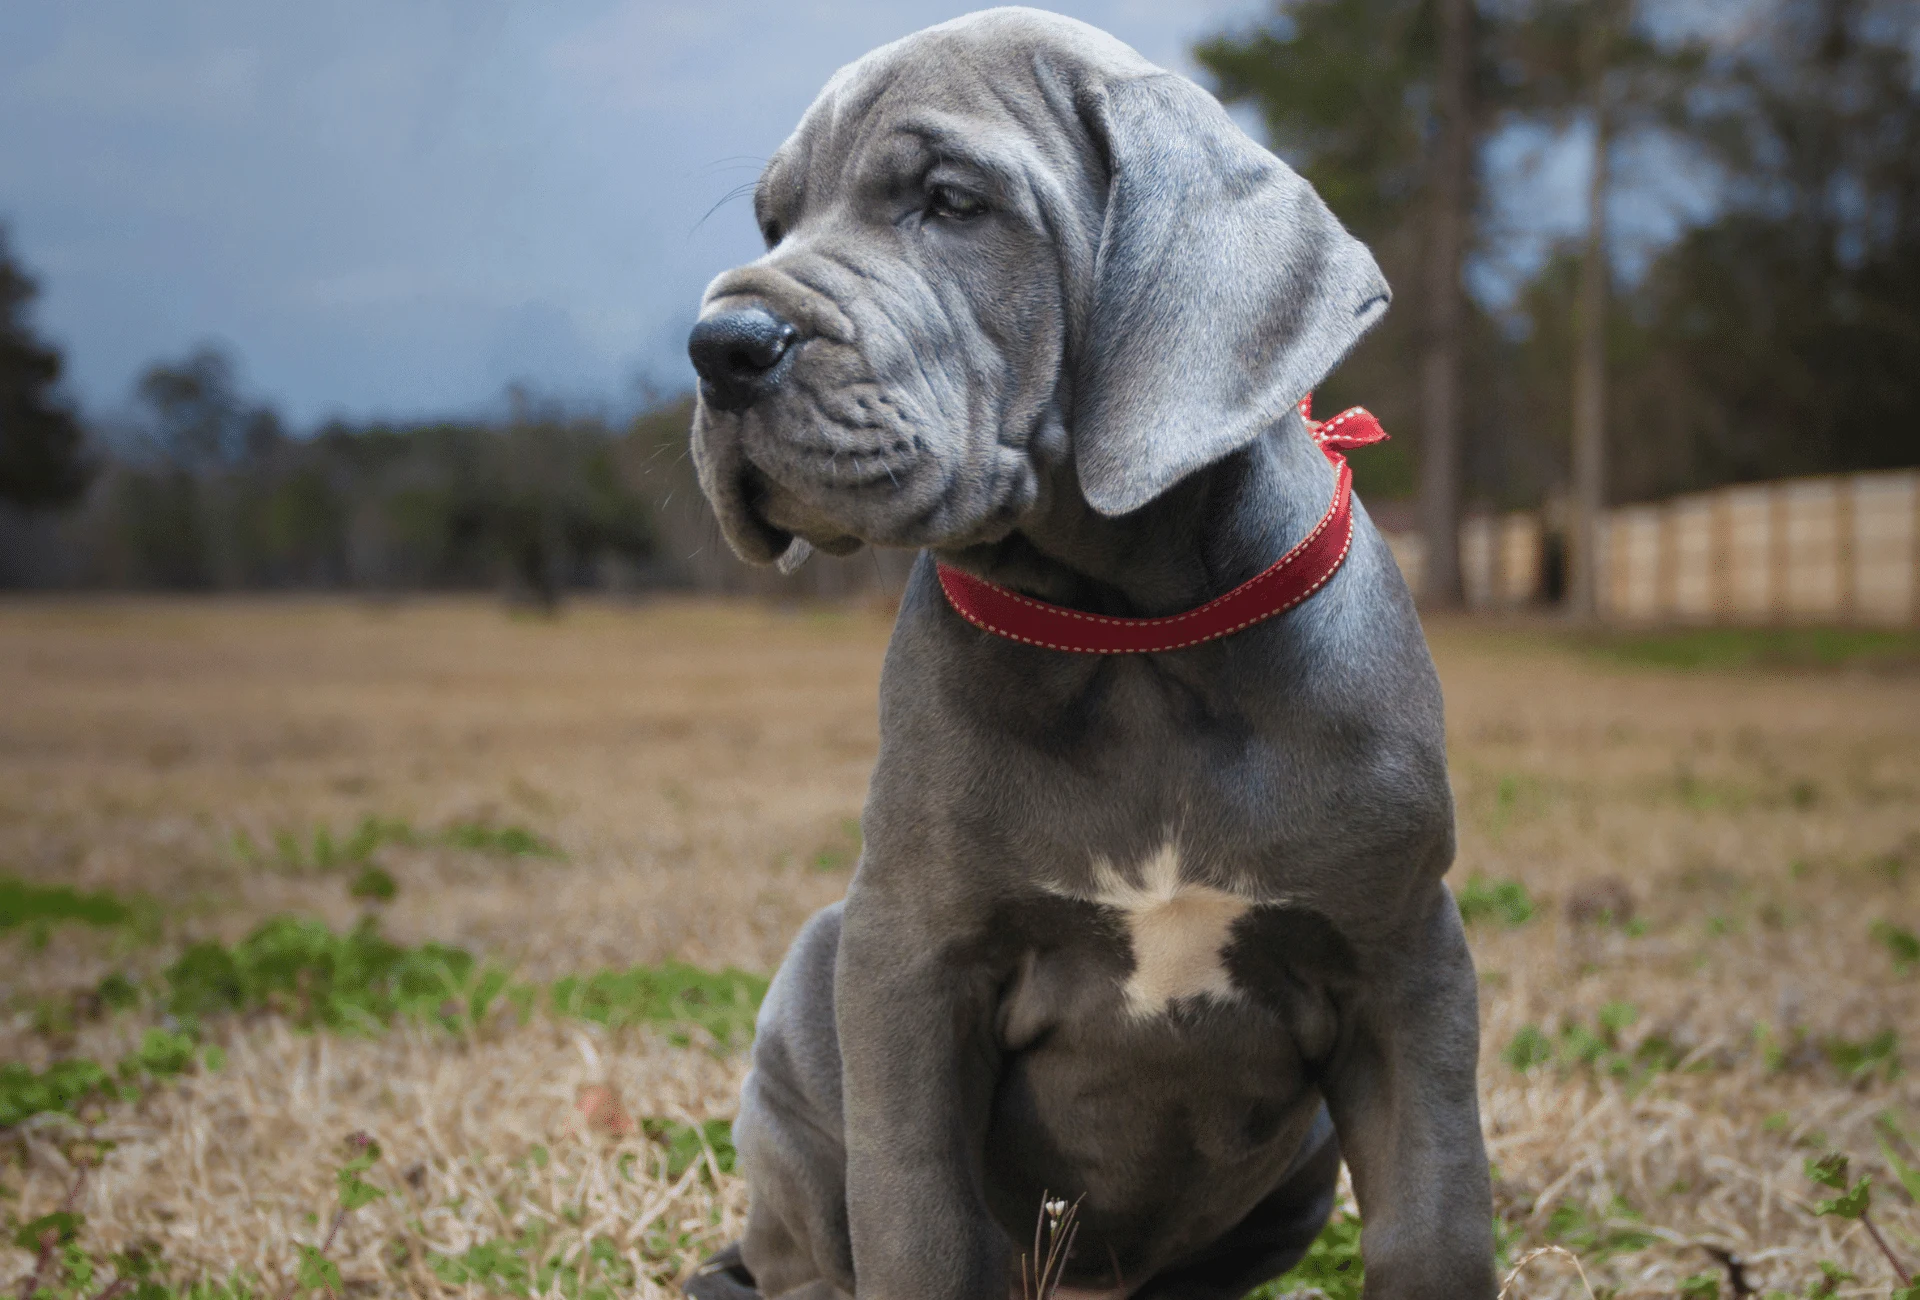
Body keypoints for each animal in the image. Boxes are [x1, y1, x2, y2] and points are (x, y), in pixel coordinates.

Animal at [683, 10, 1489, 1298]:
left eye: (951, 202)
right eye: (774, 223)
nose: (719, 344)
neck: (1130, 629)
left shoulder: (1406, 962)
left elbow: (1437, 1217)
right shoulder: (911, 958)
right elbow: (917, 1212)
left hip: (1305, 1158)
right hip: (805, 1010)